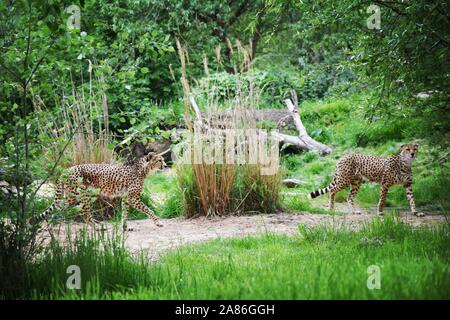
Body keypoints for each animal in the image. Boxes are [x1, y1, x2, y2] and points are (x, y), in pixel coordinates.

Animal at [30, 152, 167, 228]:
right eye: (159, 160)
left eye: (163, 160)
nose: (165, 165)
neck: (144, 169)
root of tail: (67, 169)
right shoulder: (133, 197)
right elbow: (148, 209)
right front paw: (158, 222)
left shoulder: (126, 197)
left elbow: (125, 213)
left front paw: (124, 227)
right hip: (84, 195)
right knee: (85, 214)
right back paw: (96, 227)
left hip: (72, 196)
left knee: (59, 207)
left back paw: (49, 224)